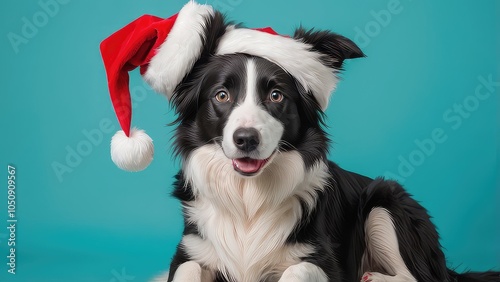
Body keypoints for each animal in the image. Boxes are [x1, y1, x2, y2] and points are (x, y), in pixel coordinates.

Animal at [99, 1, 498, 280]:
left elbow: (297, 269)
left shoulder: (322, 260)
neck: (248, 200)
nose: (246, 139)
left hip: (386, 201)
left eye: (276, 95)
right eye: (222, 95)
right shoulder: (190, 251)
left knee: (415, 277)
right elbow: (188, 270)